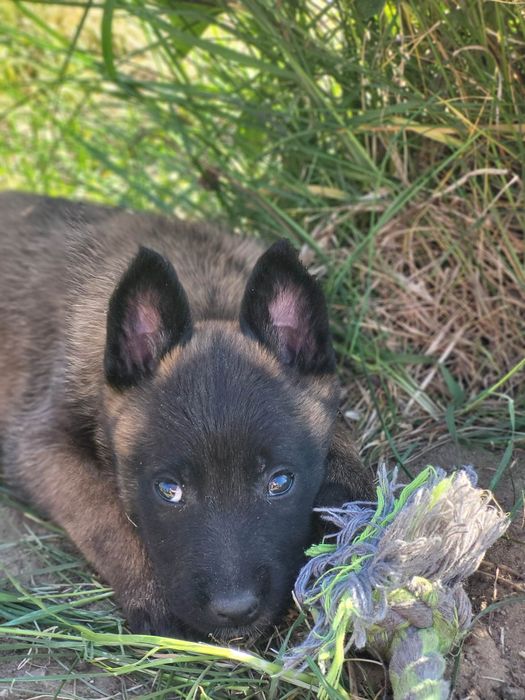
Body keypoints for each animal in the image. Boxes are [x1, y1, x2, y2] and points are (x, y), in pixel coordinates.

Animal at [0, 191, 370, 640]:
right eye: (169, 490)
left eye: (280, 483)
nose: (236, 610)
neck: (206, 300)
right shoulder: (39, 440)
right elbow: (99, 511)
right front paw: (151, 594)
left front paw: (346, 498)